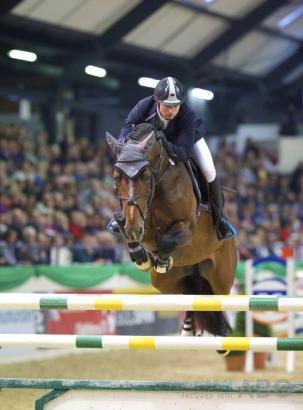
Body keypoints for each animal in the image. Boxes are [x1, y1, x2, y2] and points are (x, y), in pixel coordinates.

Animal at [107, 123, 238, 338]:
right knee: (193, 293)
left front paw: (161, 260)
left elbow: (166, 240)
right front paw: (142, 258)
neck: (159, 180)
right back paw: (187, 330)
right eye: (116, 177)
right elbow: (125, 227)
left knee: (216, 302)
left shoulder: (187, 226)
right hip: (166, 282)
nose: (135, 228)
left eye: (145, 175)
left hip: (221, 278)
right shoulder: (135, 221)